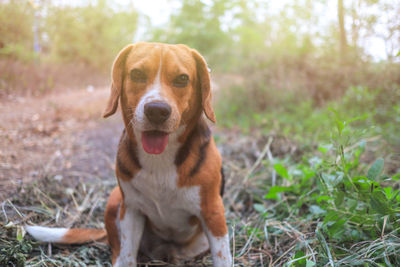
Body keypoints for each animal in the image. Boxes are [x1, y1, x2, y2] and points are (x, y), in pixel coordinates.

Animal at [26, 43, 233, 266]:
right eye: (137, 74)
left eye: (182, 79)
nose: (157, 110)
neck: (160, 158)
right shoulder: (132, 209)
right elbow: (126, 255)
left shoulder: (213, 213)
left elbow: (222, 257)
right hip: (116, 198)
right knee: (118, 250)